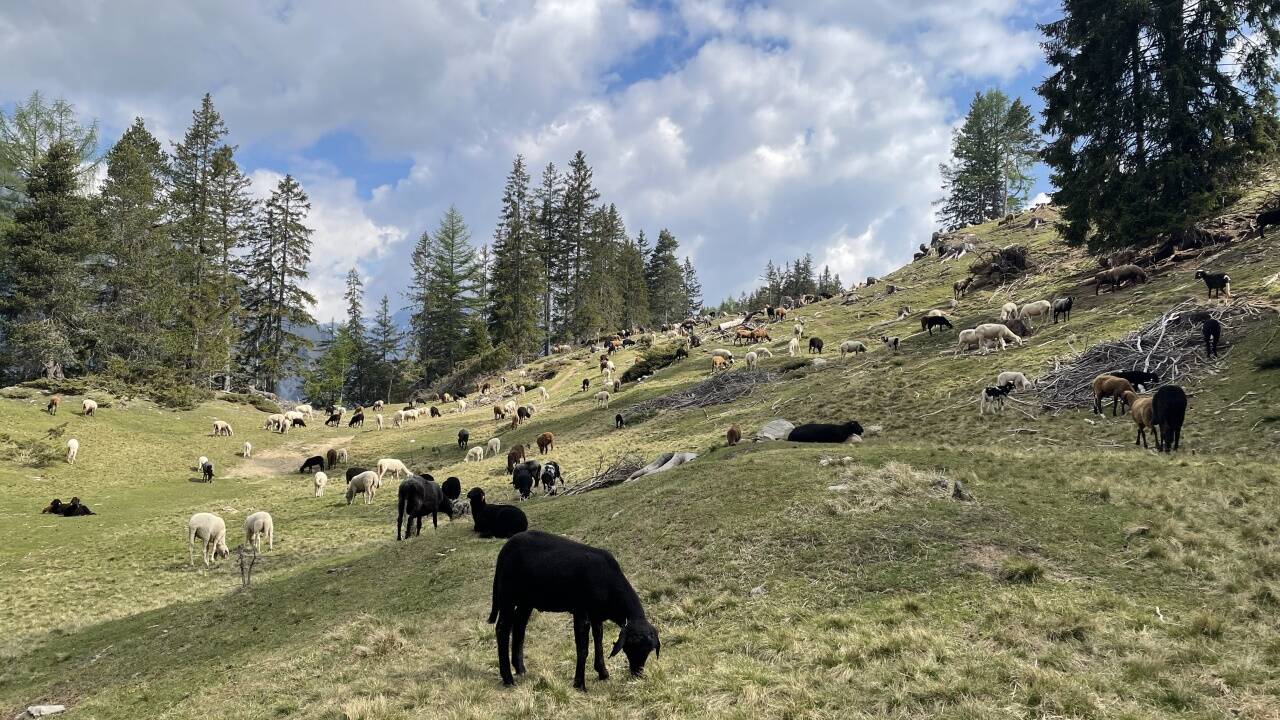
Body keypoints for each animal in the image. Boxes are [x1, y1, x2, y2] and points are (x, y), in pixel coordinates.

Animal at [488, 530, 661, 689]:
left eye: (649, 650)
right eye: (632, 646)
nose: (637, 673)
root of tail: (505, 548)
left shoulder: (596, 614)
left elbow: (598, 640)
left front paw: (602, 672)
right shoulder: (581, 613)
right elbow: (583, 649)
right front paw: (580, 684)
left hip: (526, 600)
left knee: (519, 626)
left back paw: (520, 669)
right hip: (507, 595)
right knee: (502, 629)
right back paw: (508, 678)